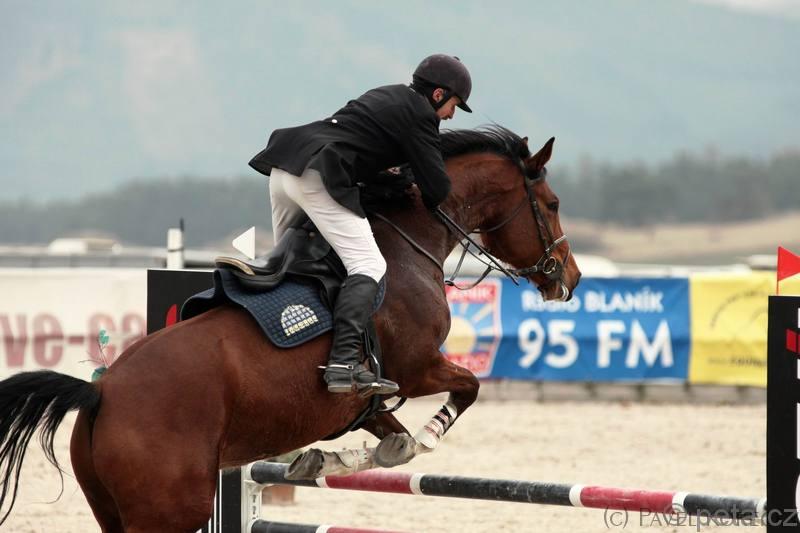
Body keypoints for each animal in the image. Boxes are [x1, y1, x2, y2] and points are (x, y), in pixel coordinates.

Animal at [0, 126, 581, 532]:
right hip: (170, 511)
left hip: (114, 511)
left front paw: (332, 457)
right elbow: (464, 392)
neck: (409, 241)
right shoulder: (417, 369)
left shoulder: (368, 401)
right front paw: (420, 438)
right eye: (552, 205)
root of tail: (101, 394)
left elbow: (389, 437)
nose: (569, 279)